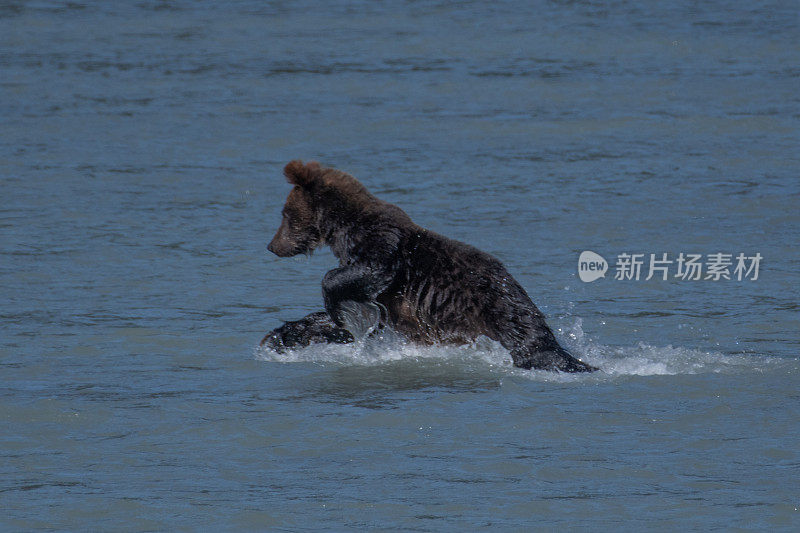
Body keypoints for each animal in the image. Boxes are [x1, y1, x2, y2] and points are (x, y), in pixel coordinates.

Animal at [266, 160, 596, 372]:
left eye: (285, 214)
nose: (272, 245)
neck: (341, 231)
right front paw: (281, 335)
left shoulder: (381, 246)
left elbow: (363, 274)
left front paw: (334, 305)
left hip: (497, 310)